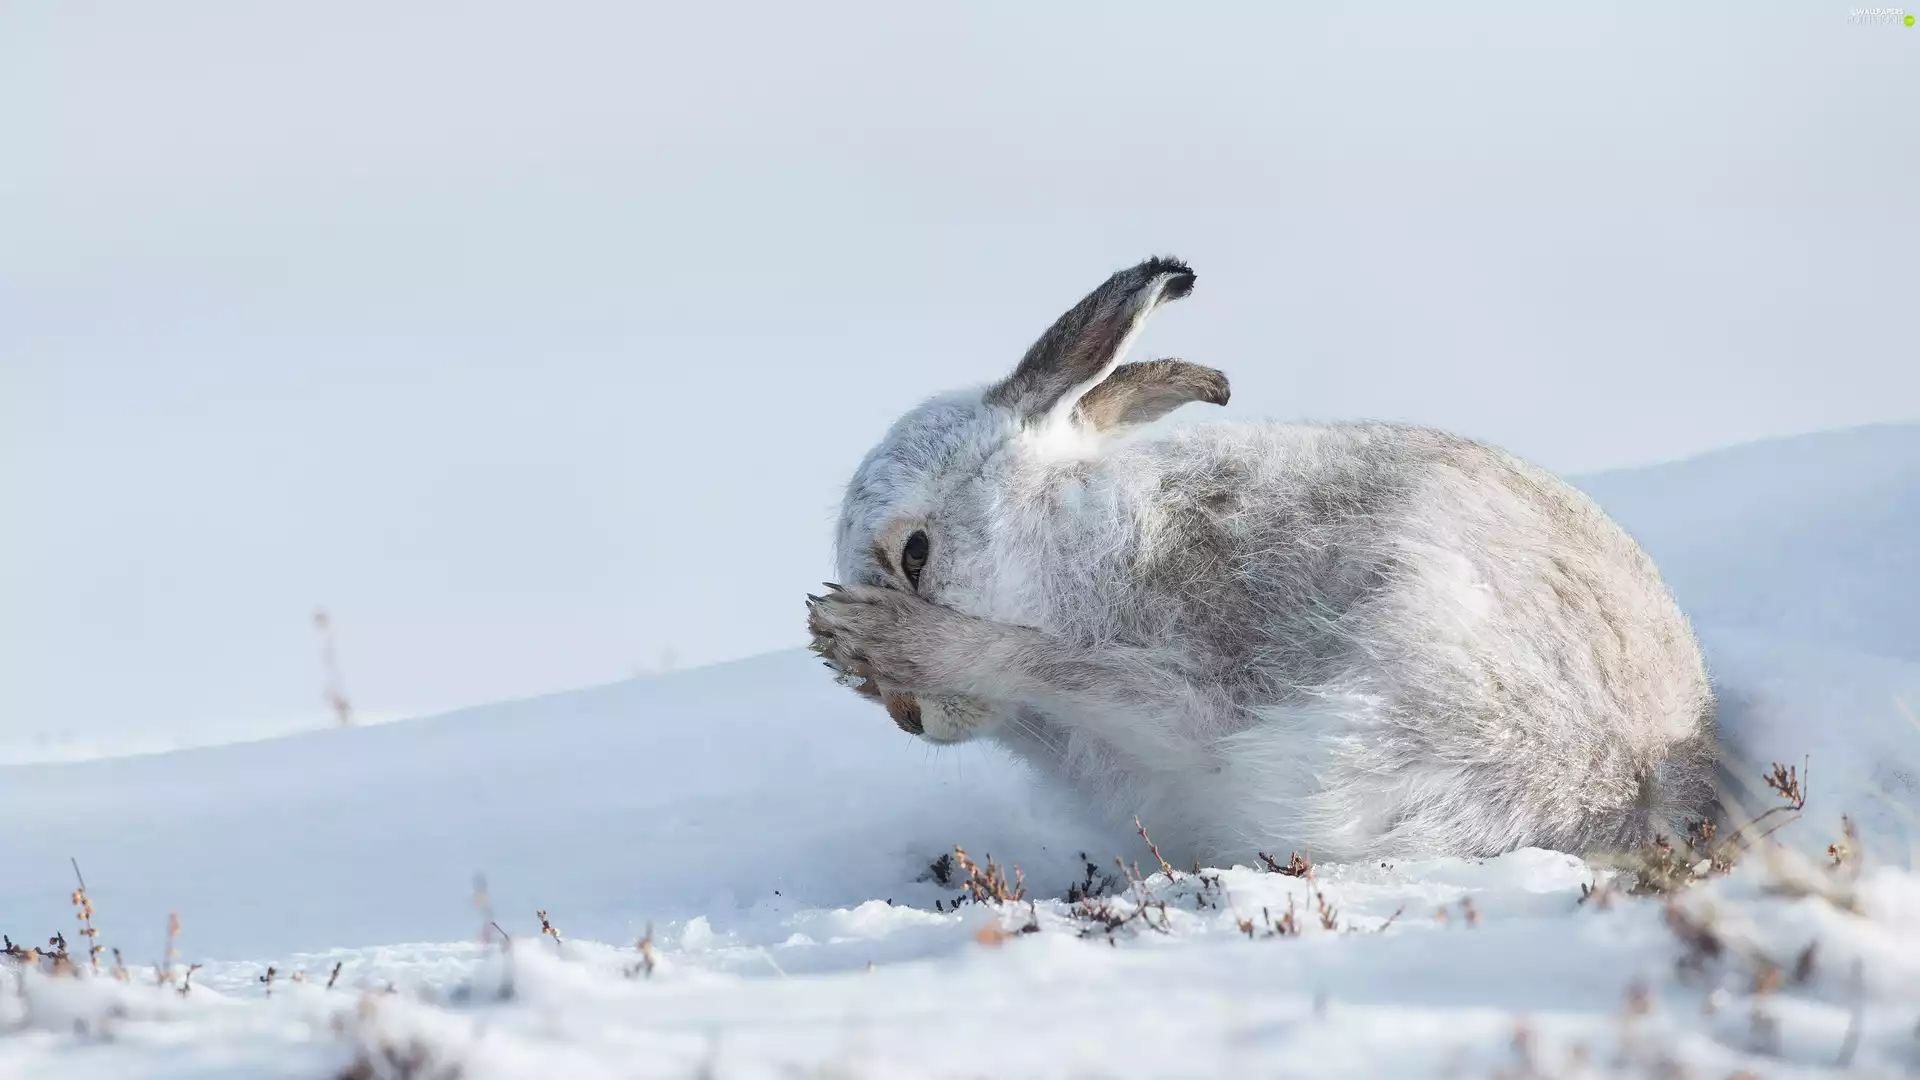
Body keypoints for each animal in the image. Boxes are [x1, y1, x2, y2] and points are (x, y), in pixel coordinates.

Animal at [807, 255, 1720, 868]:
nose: (905, 717)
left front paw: (872, 635)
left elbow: (1080, 672)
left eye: (916, 554)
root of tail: (1640, 788)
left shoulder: (1208, 677)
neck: (1065, 548)